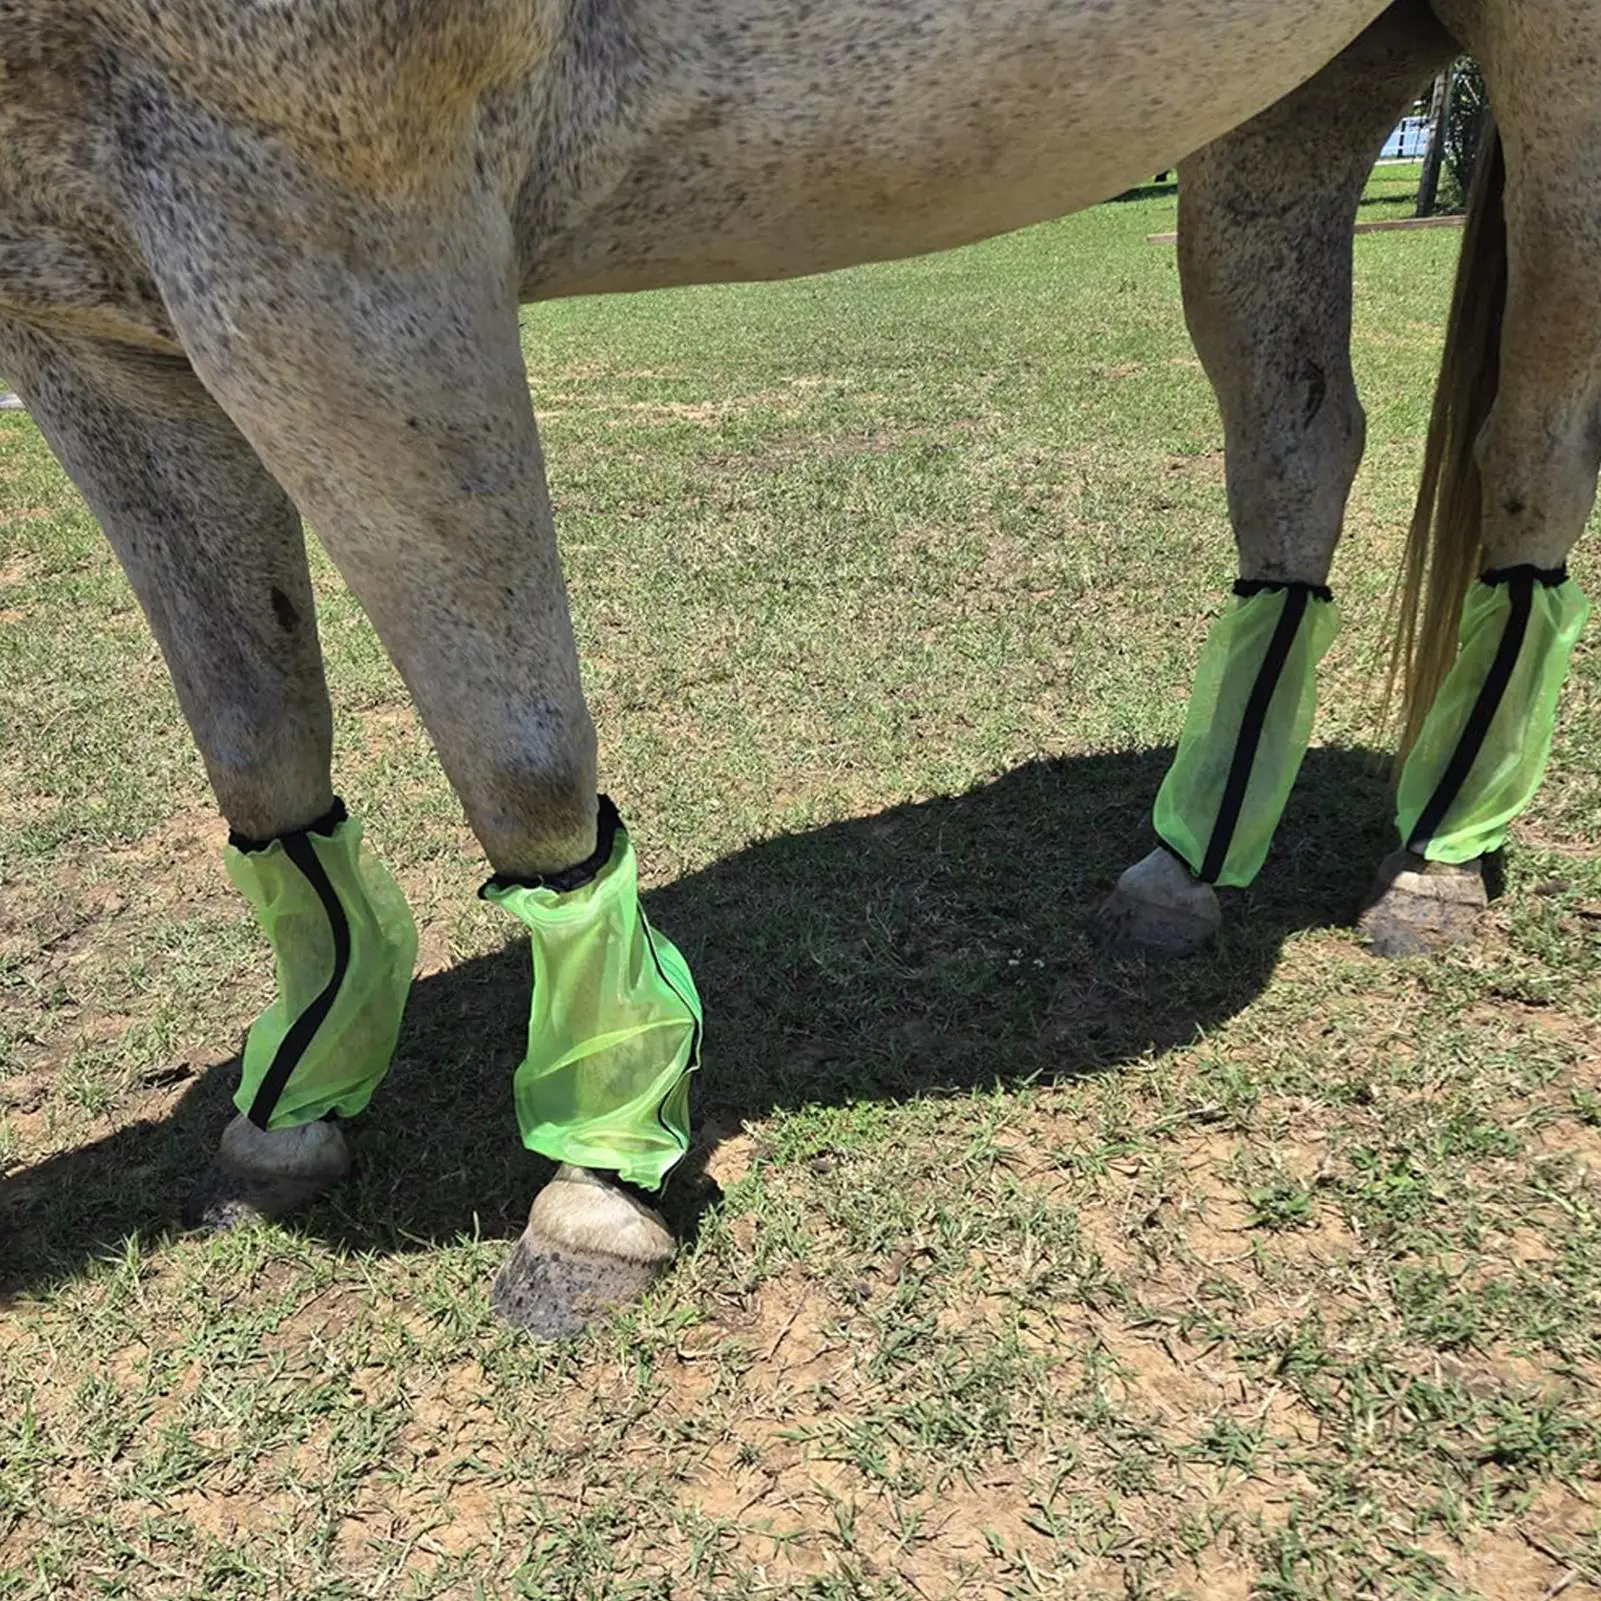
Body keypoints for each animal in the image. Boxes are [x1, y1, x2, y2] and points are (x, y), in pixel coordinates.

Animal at [3, 0, 1594, 1336]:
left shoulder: (337, 231)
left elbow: (523, 766)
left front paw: (602, 1175)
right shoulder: (96, 324)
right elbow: (260, 749)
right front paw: (298, 1096)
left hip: (1548, 68)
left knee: (1534, 448)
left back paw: (1440, 861)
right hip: (1296, 91)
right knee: (1296, 441)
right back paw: (1187, 867)